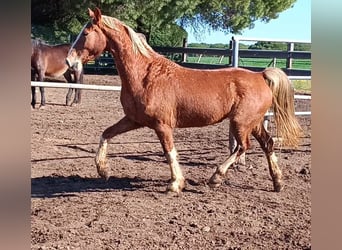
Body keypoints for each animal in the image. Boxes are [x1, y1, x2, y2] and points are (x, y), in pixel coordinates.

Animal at [66, 6, 302, 192]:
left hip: (241, 122)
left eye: (86, 33)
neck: (146, 75)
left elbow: (169, 152)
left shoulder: (162, 125)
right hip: (253, 123)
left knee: (243, 147)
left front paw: (175, 184)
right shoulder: (134, 120)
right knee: (267, 144)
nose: (69, 61)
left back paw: (216, 177)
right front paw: (103, 170)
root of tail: (260, 75)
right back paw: (277, 182)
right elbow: (106, 134)